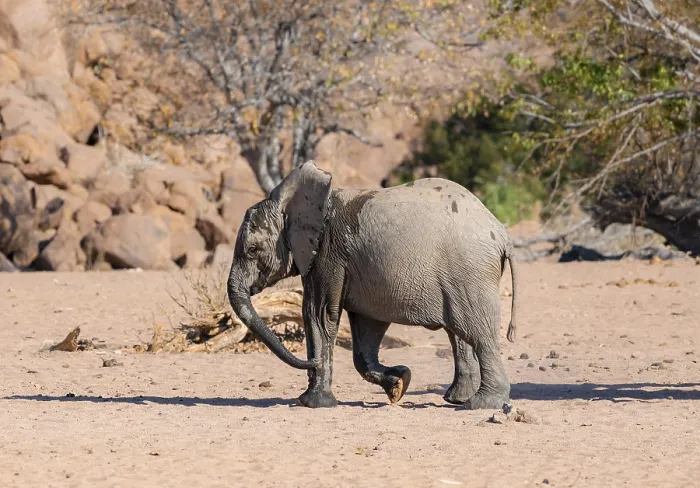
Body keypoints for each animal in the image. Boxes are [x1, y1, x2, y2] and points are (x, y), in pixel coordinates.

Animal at [227, 161, 518, 409]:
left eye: (252, 250)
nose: (310, 361)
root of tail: (502, 233)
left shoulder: (326, 254)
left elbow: (318, 315)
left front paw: (311, 403)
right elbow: (365, 332)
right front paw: (400, 383)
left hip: (469, 273)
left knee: (480, 334)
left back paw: (480, 404)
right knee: (459, 332)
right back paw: (457, 398)